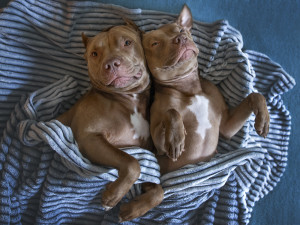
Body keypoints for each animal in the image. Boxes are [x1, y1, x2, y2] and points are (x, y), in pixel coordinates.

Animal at [57, 19, 163, 221]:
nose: (112, 64)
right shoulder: (89, 137)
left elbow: (158, 191)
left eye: (127, 42)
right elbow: (132, 163)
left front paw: (132, 210)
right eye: (94, 53)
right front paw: (112, 197)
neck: (129, 98)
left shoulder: (147, 157)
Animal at [142, 4, 270, 174]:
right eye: (155, 43)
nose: (181, 38)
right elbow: (172, 112)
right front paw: (176, 138)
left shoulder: (227, 127)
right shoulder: (160, 148)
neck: (188, 87)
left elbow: (255, 95)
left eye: (181, 30)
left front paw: (263, 119)